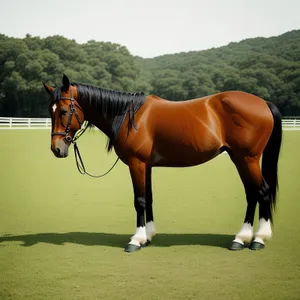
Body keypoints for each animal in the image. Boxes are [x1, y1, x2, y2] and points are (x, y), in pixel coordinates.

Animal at [42, 74, 282, 252]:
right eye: (50, 111)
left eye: (63, 111)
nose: (56, 149)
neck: (129, 116)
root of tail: (263, 102)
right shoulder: (146, 166)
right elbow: (149, 198)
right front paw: (148, 236)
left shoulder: (137, 164)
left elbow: (139, 200)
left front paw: (136, 240)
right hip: (238, 158)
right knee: (252, 193)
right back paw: (240, 239)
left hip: (247, 158)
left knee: (262, 191)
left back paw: (258, 238)